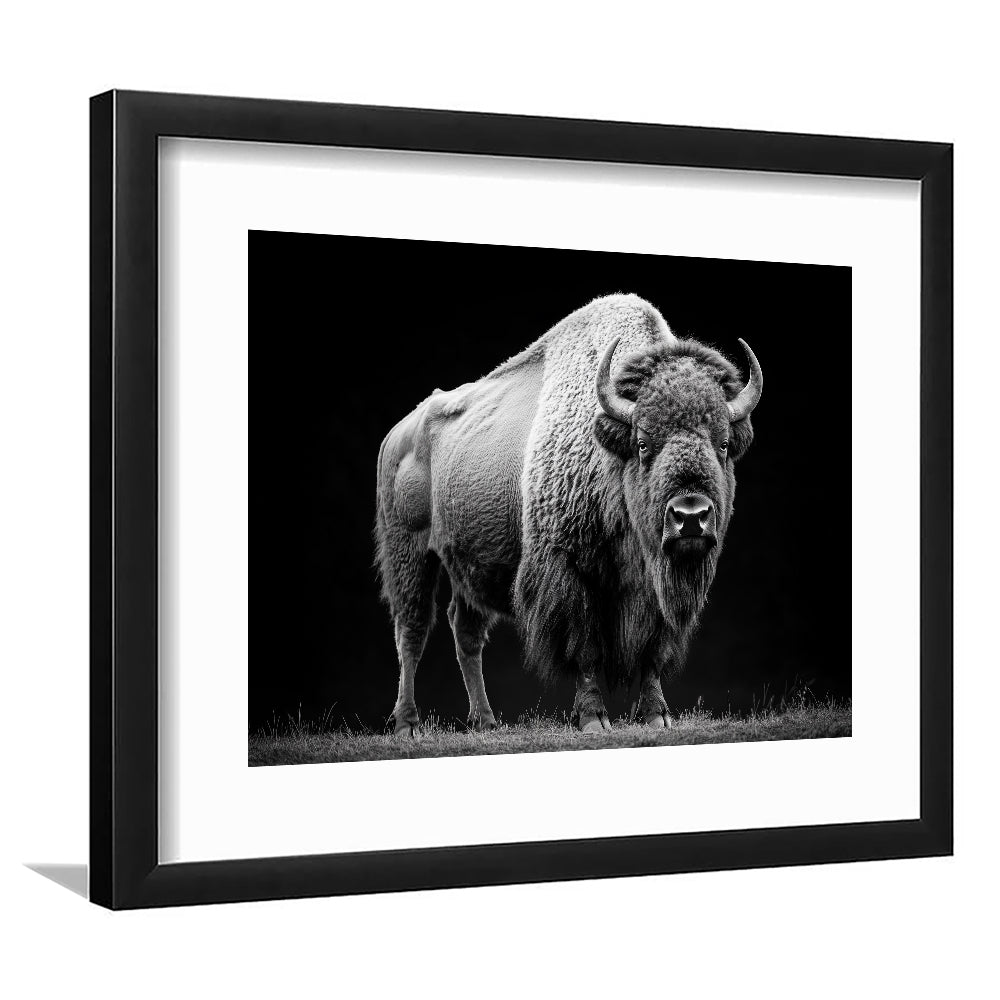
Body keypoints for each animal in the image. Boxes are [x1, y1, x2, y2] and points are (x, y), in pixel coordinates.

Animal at [375, 294, 762, 734]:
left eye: (723, 443)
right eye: (643, 443)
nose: (691, 515)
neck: (606, 450)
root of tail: (398, 434)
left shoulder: (656, 588)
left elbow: (652, 652)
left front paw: (657, 716)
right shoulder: (569, 574)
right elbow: (585, 648)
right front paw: (593, 718)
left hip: (466, 564)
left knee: (465, 631)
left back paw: (485, 721)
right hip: (408, 551)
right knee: (412, 629)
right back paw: (408, 723)